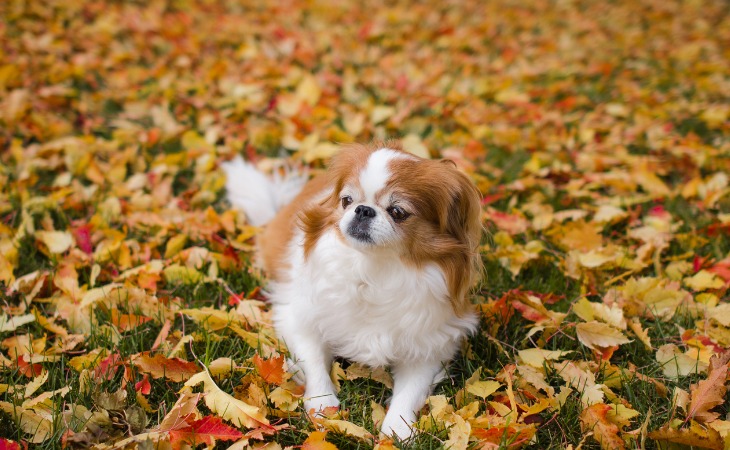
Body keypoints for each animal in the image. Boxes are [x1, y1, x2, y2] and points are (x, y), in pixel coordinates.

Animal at [222, 142, 484, 440]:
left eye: (398, 212)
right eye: (347, 200)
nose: (363, 210)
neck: (374, 268)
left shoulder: (429, 346)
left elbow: (410, 392)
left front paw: (399, 429)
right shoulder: (298, 319)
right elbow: (313, 361)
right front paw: (322, 405)